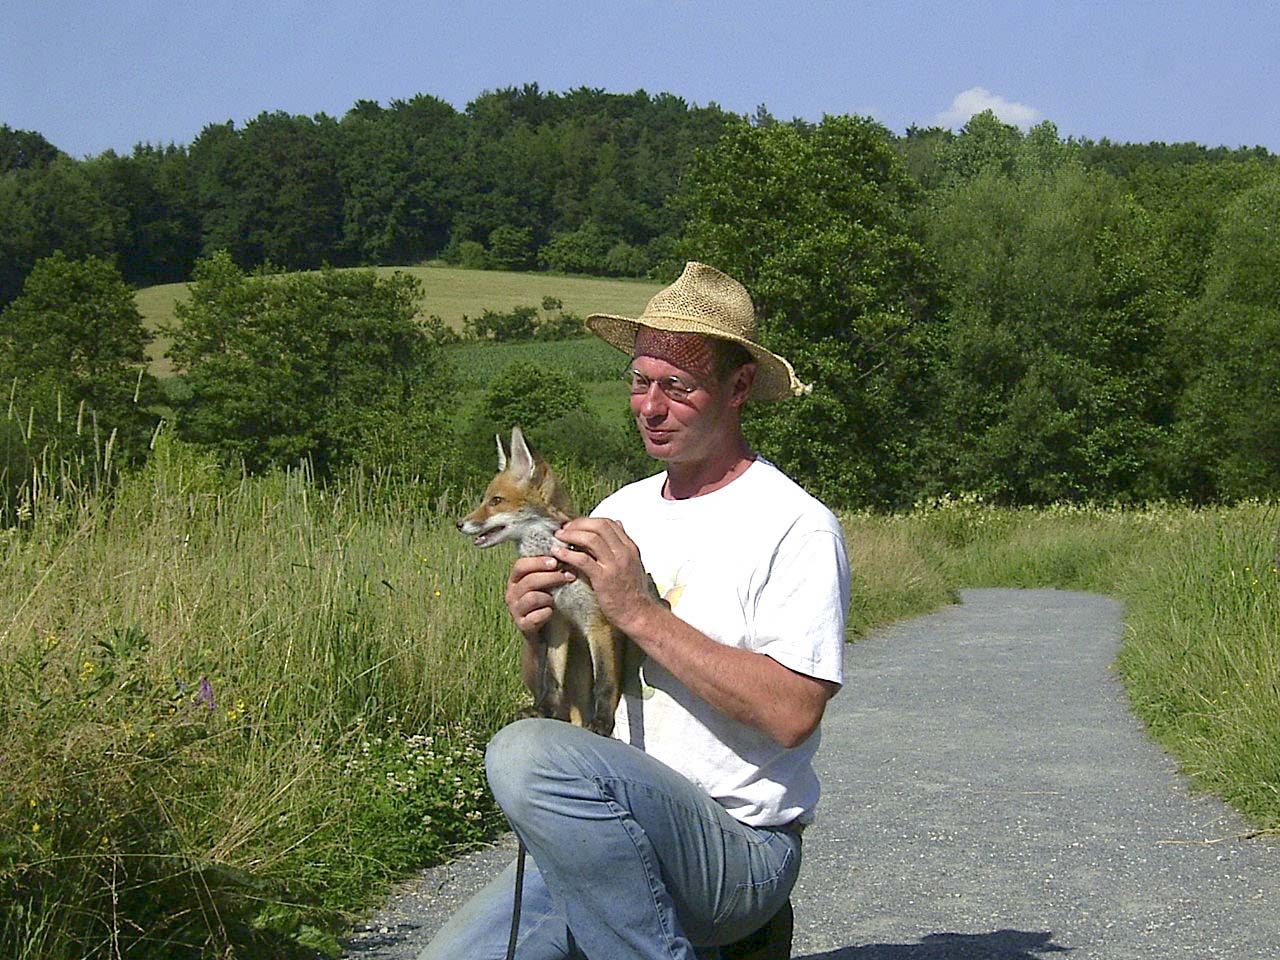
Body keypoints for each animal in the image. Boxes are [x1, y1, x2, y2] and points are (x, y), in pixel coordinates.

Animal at [458, 427, 640, 737]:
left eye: (495, 501)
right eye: (485, 499)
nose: (459, 524)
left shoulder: (597, 623)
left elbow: (604, 684)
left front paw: (602, 723)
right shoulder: (556, 622)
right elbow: (550, 677)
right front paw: (543, 709)